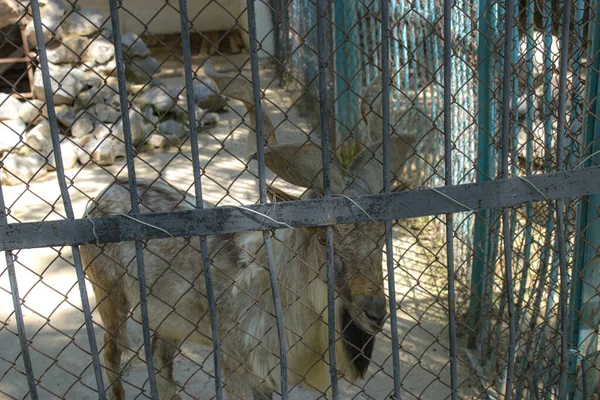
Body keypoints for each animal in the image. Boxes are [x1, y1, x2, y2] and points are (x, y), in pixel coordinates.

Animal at [79, 61, 418, 398]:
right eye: (323, 237)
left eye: (381, 235)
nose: (375, 313)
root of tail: (101, 197)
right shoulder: (238, 369)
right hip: (109, 298)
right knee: (112, 355)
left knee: (161, 361)